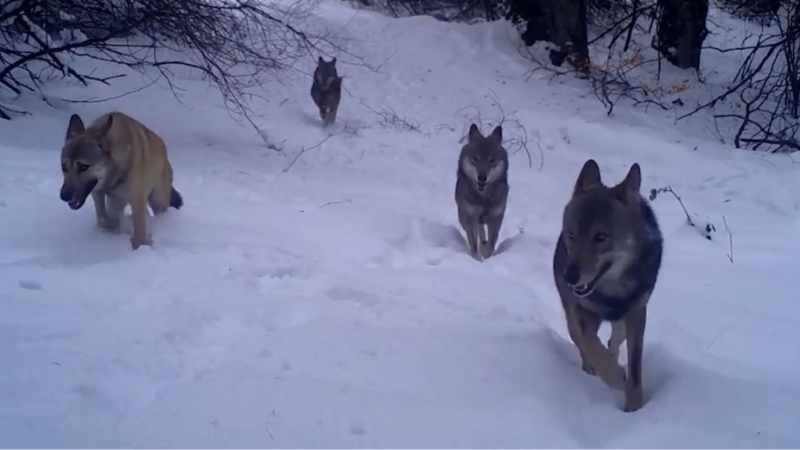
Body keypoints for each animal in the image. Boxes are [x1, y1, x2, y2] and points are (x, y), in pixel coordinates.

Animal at [59, 109, 184, 250]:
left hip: (158, 200)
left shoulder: (137, 199)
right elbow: (103, 220)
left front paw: (141, 246)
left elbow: (139, 233)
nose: (64, 196)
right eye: (64, 167)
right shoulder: (99, 193)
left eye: (83, 167)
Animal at [454, 123, 510, 260]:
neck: (484, 198)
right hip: (463, 217)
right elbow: (473, 242)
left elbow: (491, 243)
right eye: (475, 159)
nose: (482, 178)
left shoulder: (496, 217)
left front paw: (486, 254)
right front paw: (477, 258)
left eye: (491, 160)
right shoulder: (470, 217)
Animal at [552, 158, 664, 412]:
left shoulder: (637, 314)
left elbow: (634, 369)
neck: (613, 291)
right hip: (572, 316)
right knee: (584, 343)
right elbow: (591, 346)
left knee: (614, 340)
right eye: (571, 235)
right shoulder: (581, 312)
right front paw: (612, 375)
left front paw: (634, 407)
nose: (569, 276)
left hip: (624, 322)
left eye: (600, 237)